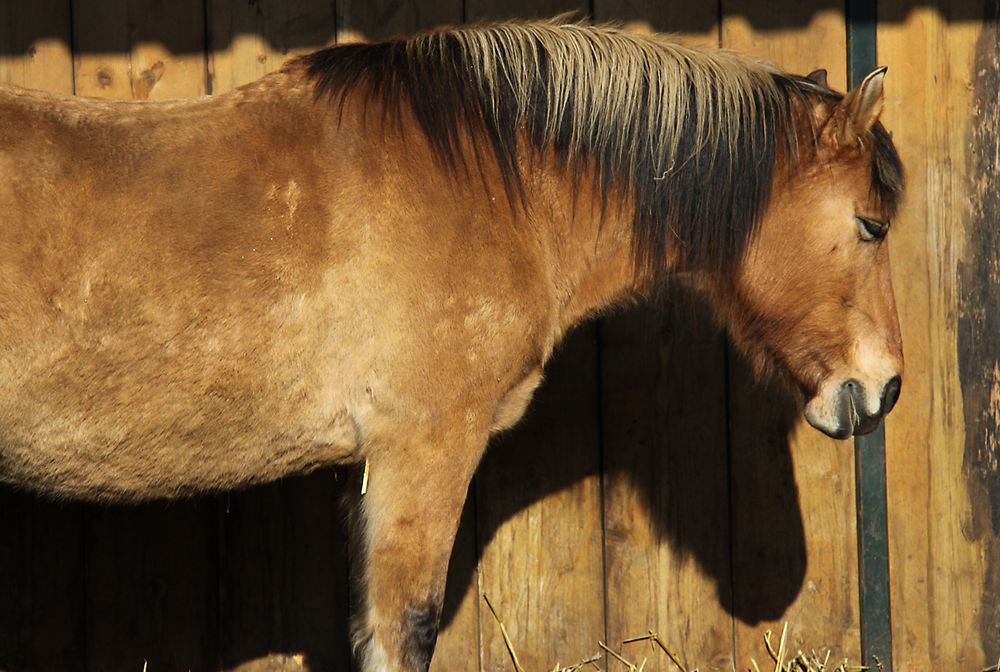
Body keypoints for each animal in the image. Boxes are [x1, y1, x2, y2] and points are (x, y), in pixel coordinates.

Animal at [0, 15, 908, 672]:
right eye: (870, 225)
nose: (884, 387)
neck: (489, 184)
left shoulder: (369, 474)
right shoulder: (423, 452)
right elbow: (406, 628)